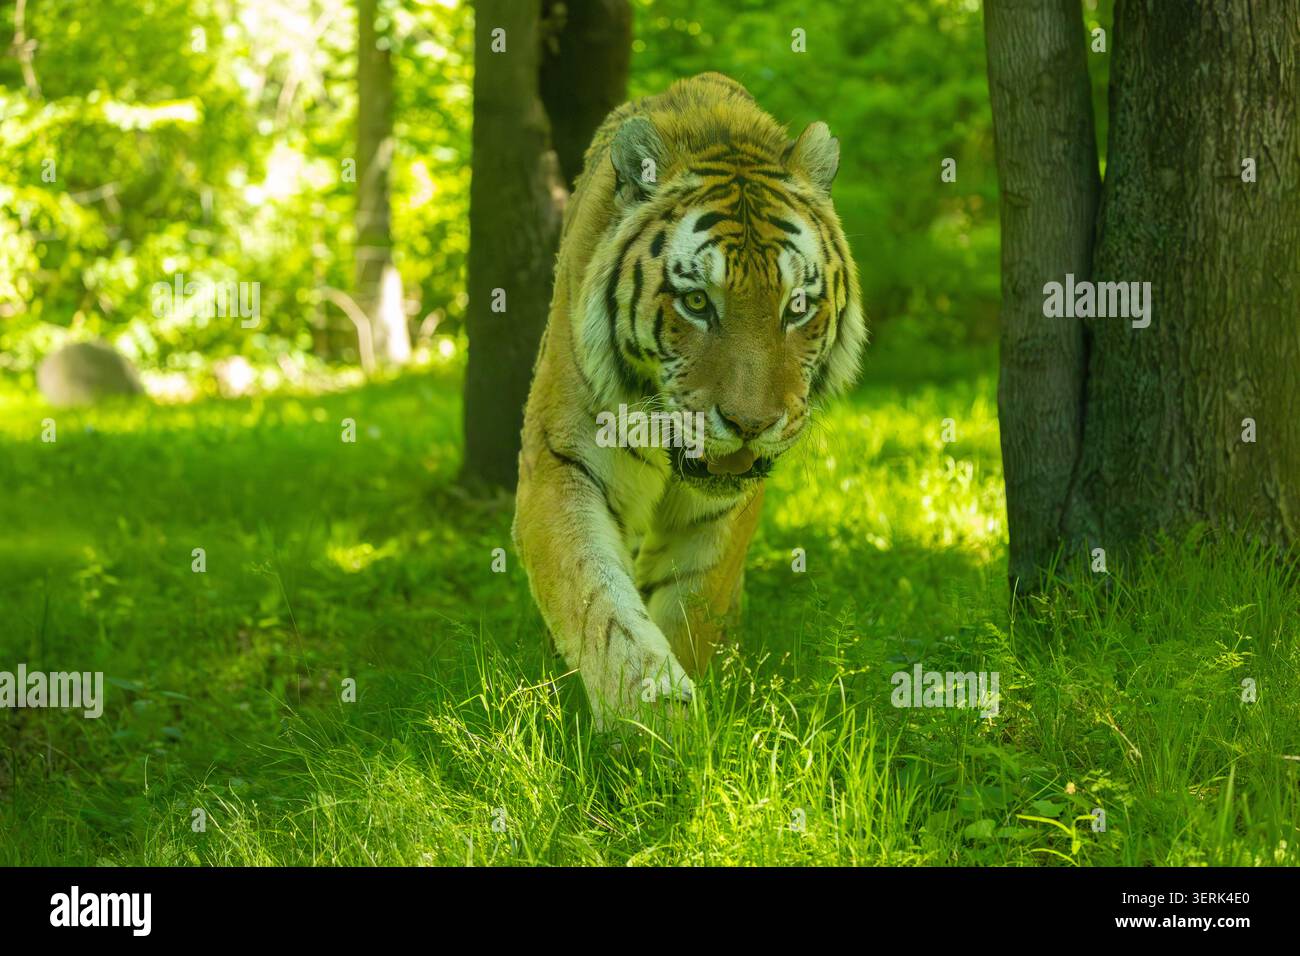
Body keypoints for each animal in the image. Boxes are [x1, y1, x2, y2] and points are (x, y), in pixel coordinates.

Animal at [512, 72, 866, 730]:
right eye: (697, 302)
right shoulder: (561, 461)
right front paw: (651, 722)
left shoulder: (726, 508)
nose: (752, 423)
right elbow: (598, 599)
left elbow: (693, 600)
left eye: (797, 307)